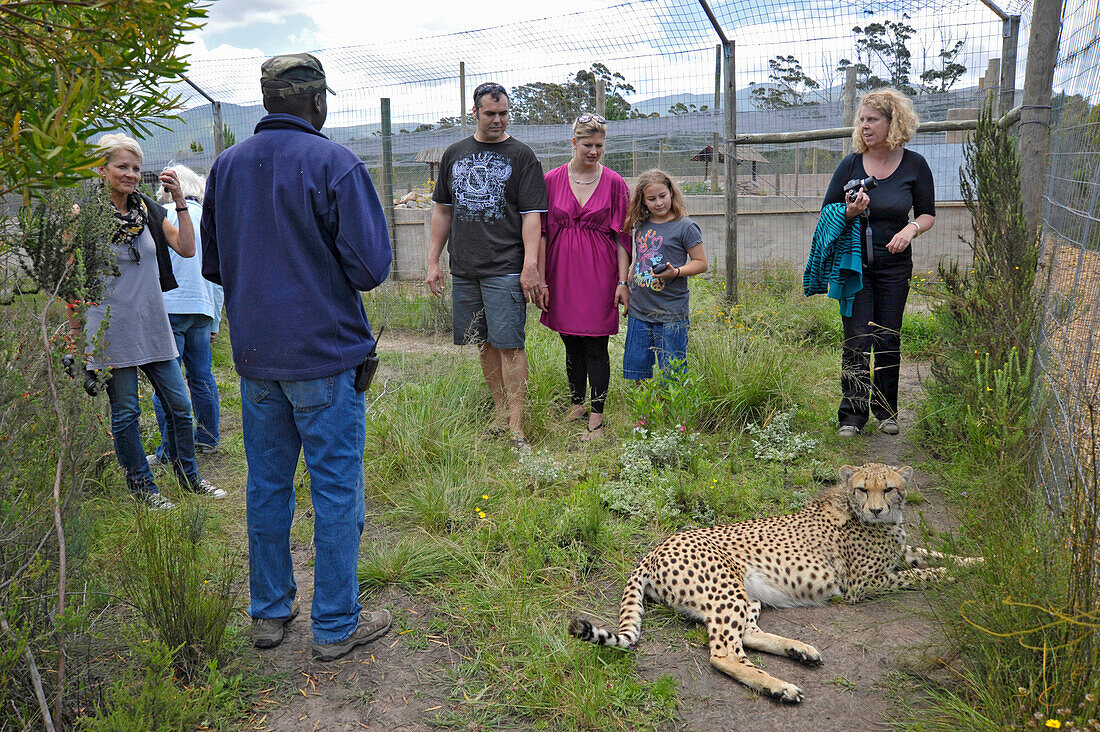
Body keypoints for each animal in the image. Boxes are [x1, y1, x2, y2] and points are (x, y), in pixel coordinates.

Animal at [567, 462, 981, 704]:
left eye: (889, 488)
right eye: (863, 489)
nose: (876, 509)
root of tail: (655, 549)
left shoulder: (899, 553)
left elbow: (932, 553)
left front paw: (977, 561)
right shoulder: (863, 585)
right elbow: (918, 573)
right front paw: (951, 574)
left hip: (746, 595)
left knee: (746, 635)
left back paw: (800, 650)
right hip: (727, 592)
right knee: (723, 654)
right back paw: (779, 686)